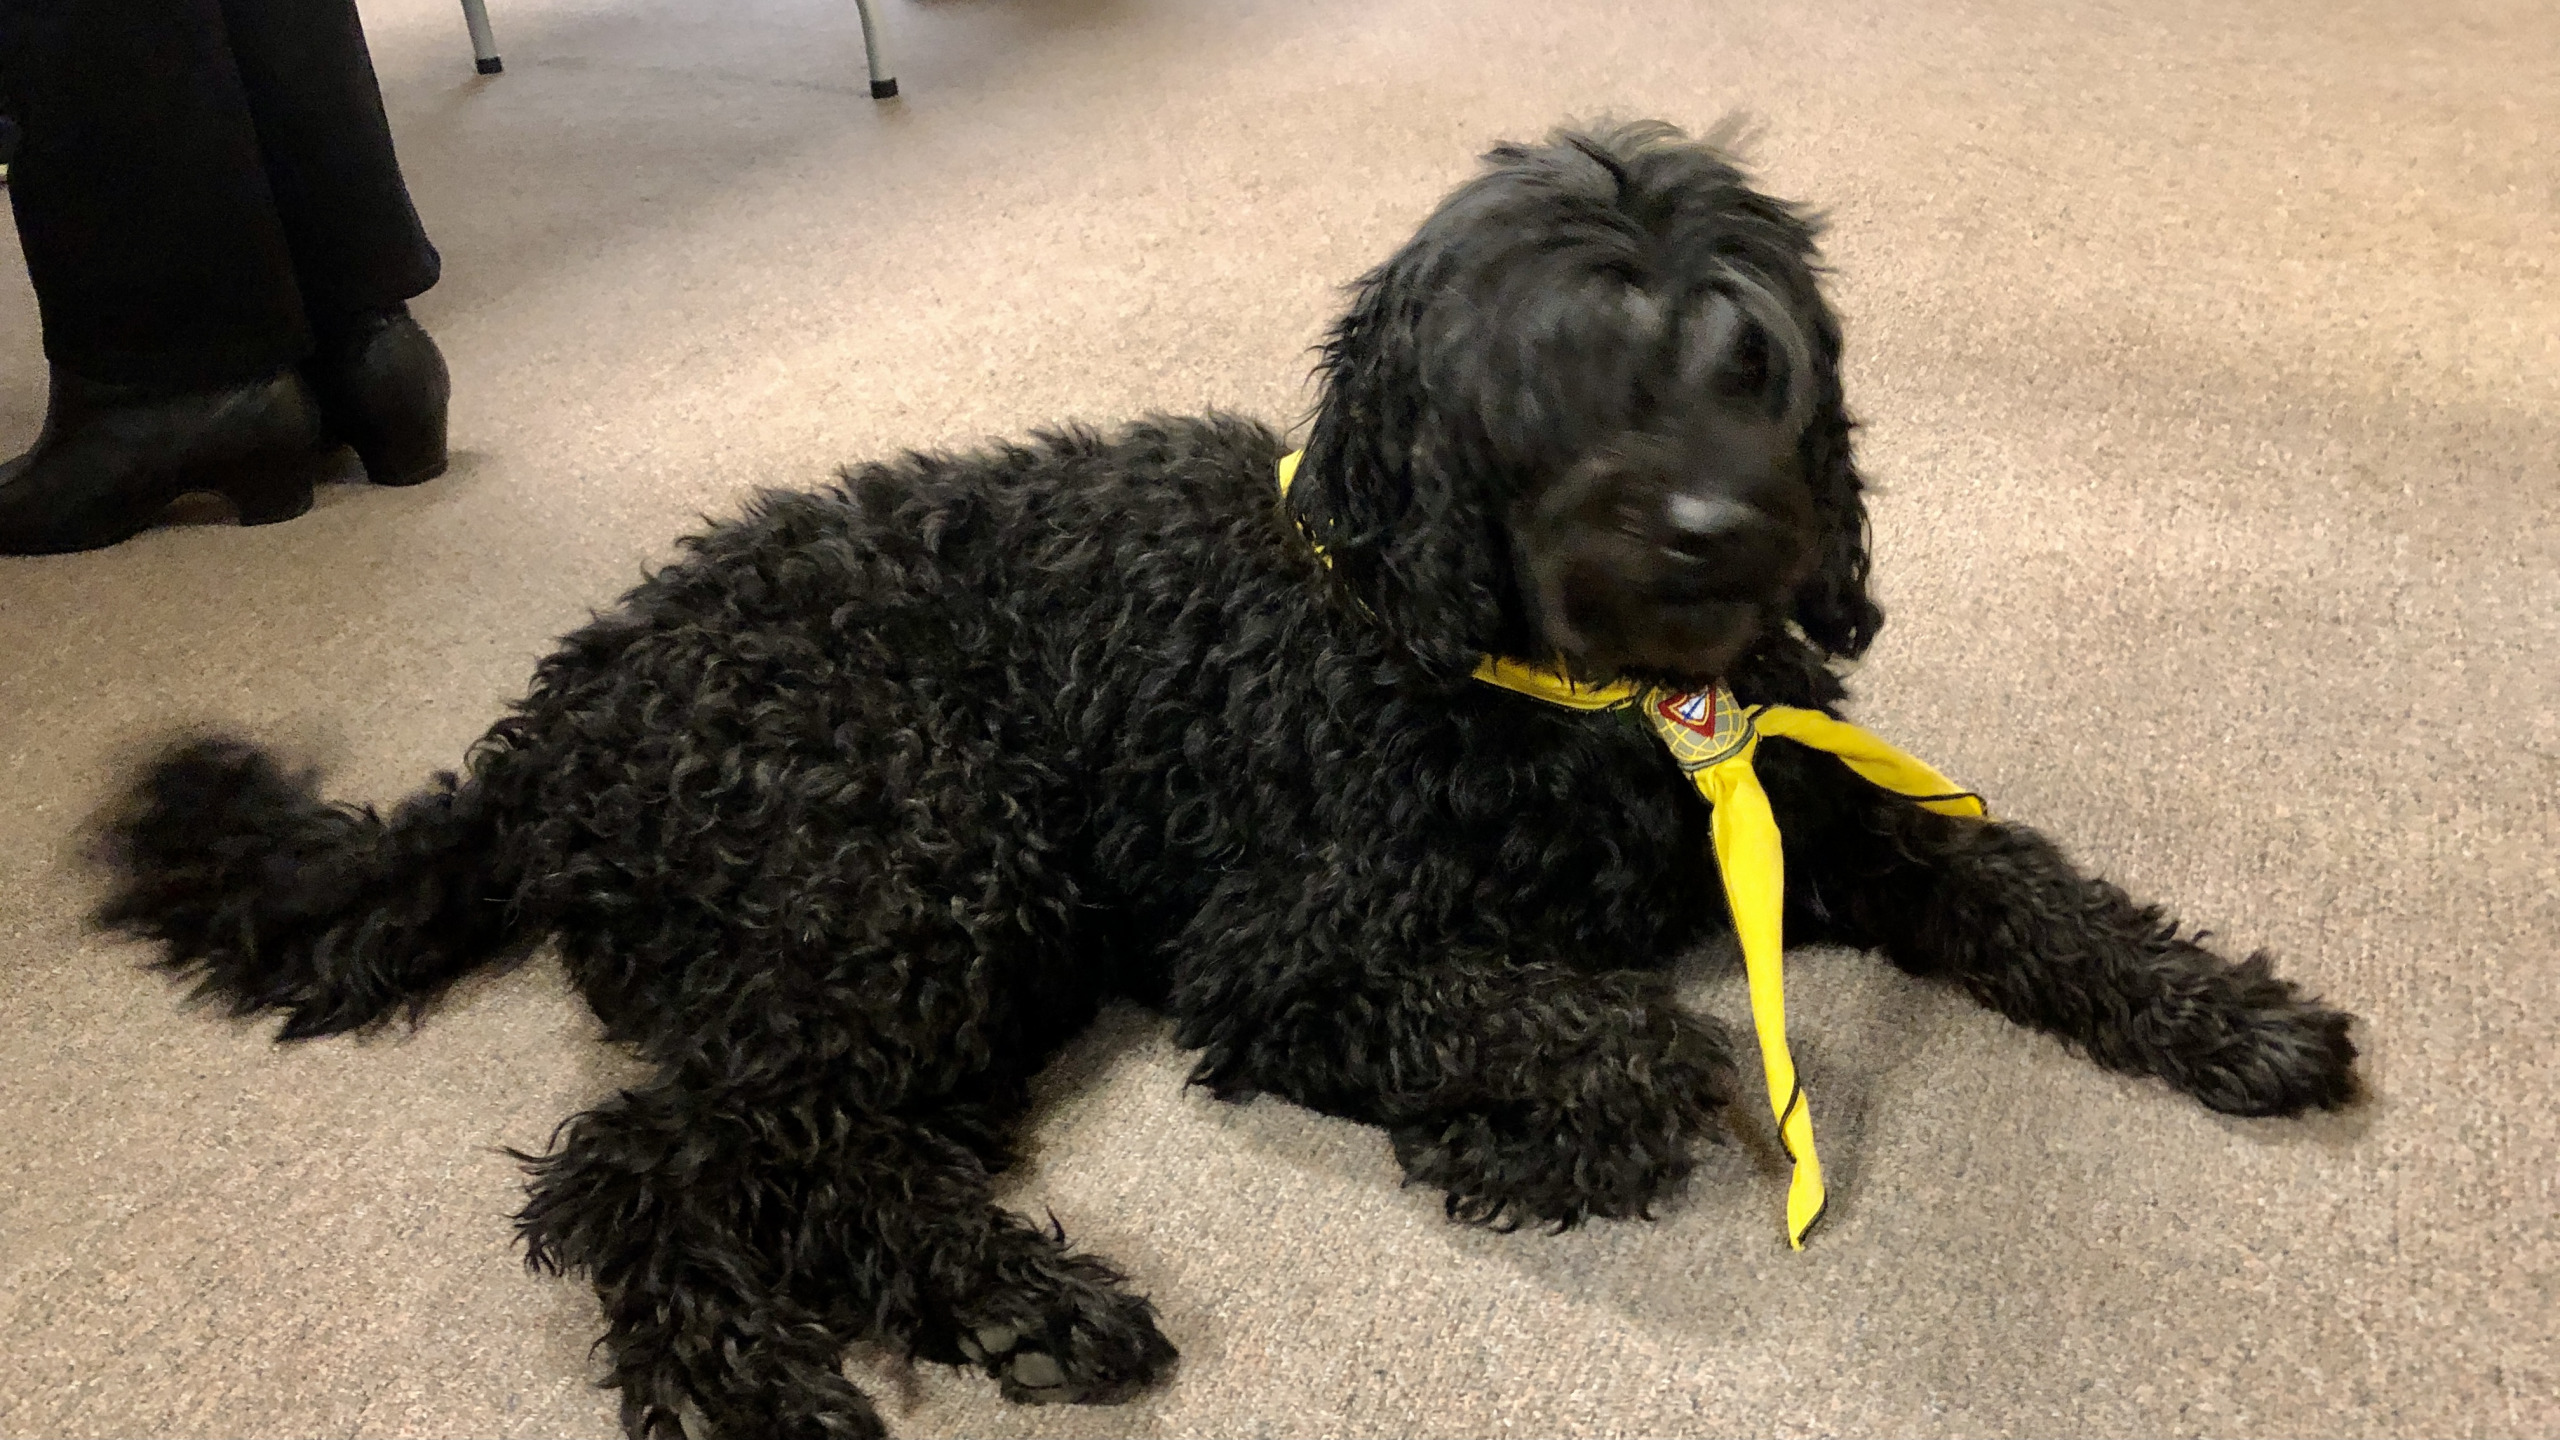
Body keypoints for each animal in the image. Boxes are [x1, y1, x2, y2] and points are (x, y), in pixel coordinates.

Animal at [94, 126, 2355, 1434]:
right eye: (1557, 370)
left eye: (1751, 356)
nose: (1726, 531)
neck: (1558, 697)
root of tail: (559, 715)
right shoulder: (1289, 950)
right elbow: (1633, 1046)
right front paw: (1514, 1133)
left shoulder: (1824, 800)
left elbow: (2030, 888)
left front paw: (2230, 1015)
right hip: (911, 875)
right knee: (646, 1162)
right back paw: (815, 1368)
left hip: (948, 956)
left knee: (783, 1156)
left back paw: (975, 1310)